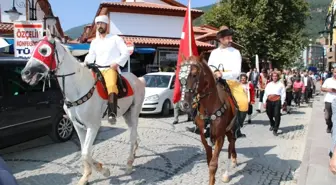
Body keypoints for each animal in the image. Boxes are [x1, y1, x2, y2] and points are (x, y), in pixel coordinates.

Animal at [21, 31, 146, 184]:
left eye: (44, 50)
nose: (25, 74)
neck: (78, 88)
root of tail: (138, 79)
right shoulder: (78, 126)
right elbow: (83, 151)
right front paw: (86, 176)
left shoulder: (93, 126)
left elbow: (86, 153)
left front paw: (103, 170)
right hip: (127, 114)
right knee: (135, 135)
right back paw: (134, 155)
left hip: (134, 113)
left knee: (132, 136)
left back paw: (129, 164)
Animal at [180, 55, 238, 185]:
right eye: (180, 76)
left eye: (194, 74)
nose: (184, 104)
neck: (210, 108)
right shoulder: (204, 138)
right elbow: (208, 161)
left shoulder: (219, 137)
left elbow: (213, 165)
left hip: (230, 129)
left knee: (231, 142)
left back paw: (228, 170)